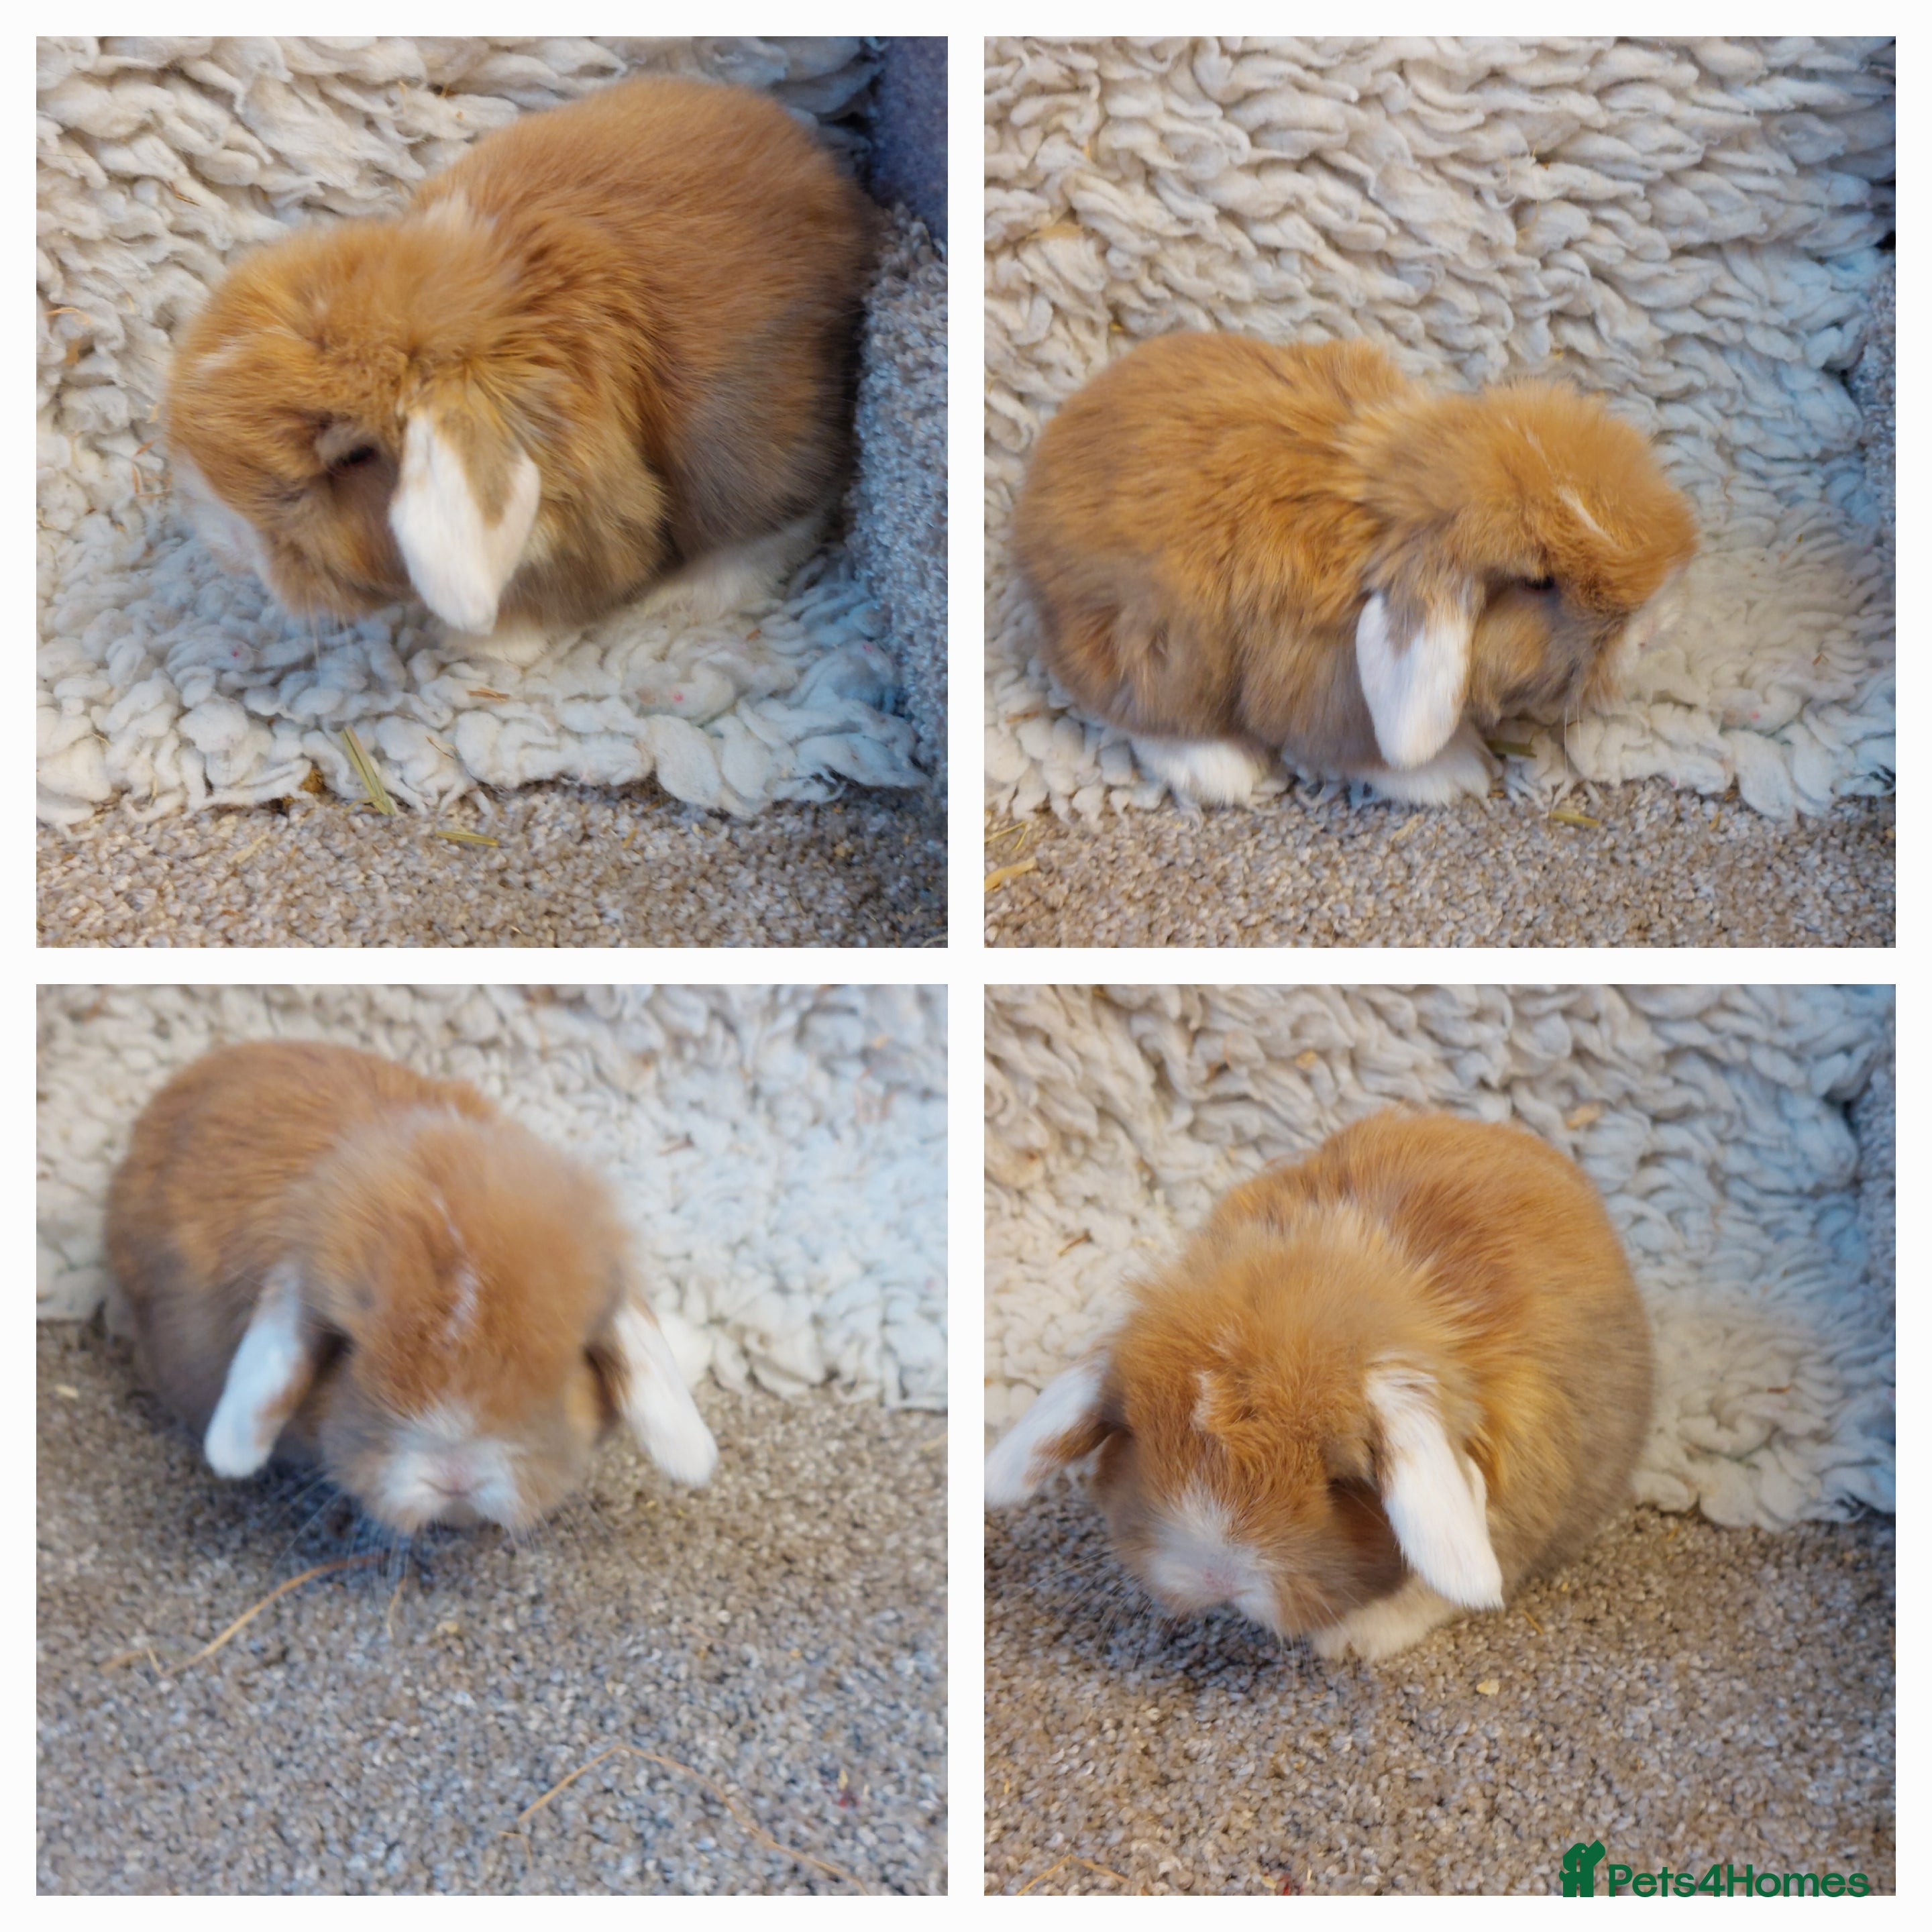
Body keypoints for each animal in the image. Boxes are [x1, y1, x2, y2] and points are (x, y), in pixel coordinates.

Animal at [165, 75, 876, 665]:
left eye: (351, 459)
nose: (228, 547)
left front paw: (481, 645)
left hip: (748, 444)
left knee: (782, 520)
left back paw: (680, 599)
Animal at [1012, 331, 1698, 805]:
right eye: (1538, 583)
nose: (1653, 629)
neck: (1382, 523)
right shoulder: (1320, 690)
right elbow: (1365, 754)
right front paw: (1457, 773)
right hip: (1155, 643)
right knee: (1126, 708)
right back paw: (1221, 770)